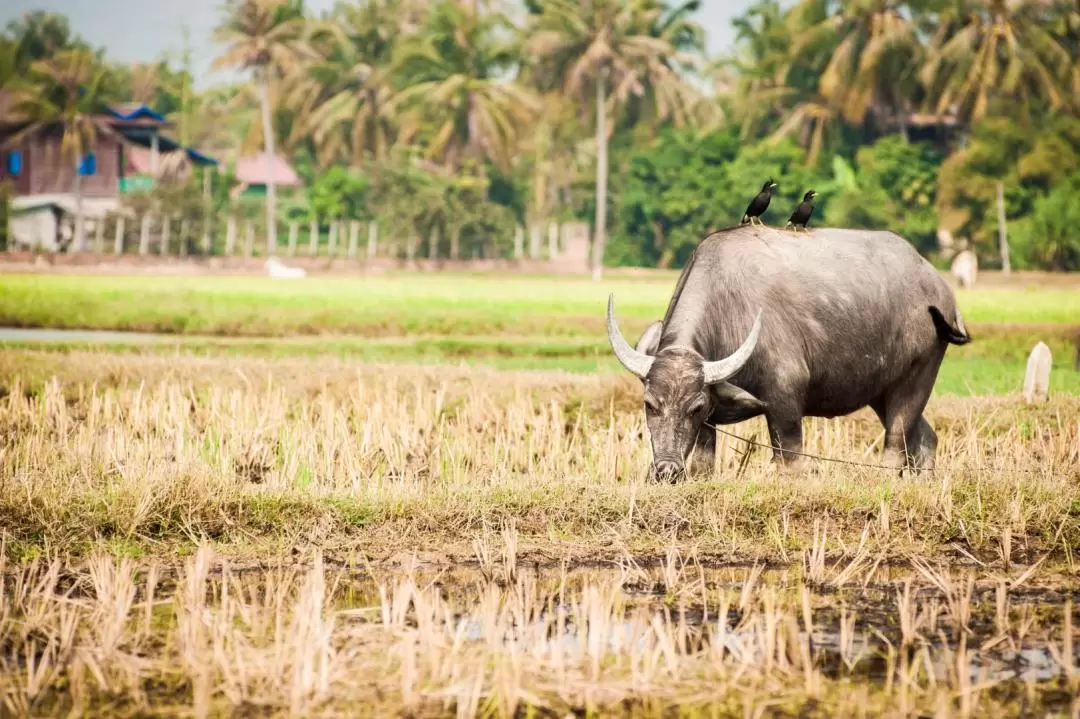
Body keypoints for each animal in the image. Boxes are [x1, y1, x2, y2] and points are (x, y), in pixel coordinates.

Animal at [609, 226, 972, 479]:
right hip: (881, 391)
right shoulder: (709, 421)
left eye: (694, 407)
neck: (730, 306)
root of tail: (937, 287)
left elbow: (790, 462)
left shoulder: (784, 402)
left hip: (915, 378)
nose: (666, 471)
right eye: (649, 405)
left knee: (896, 445)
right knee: (924, 439)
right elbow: (702, 464)